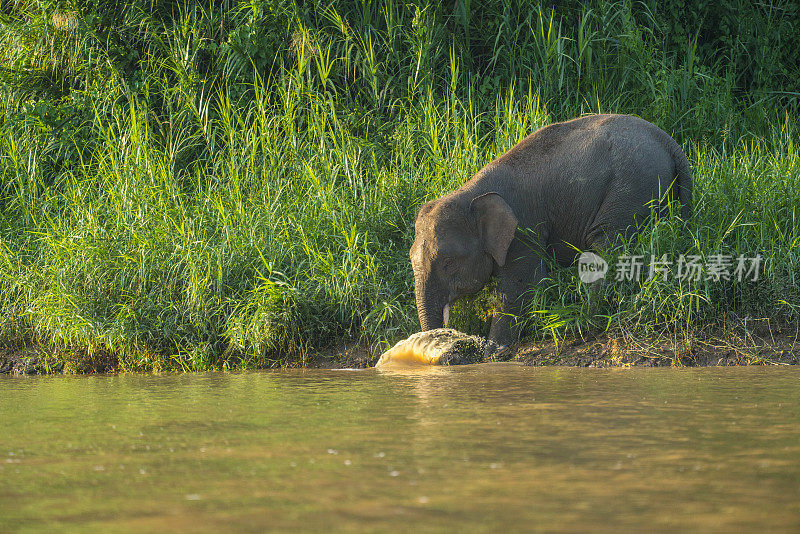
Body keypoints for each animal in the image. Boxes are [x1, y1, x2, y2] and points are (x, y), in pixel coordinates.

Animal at [410, 113, 692, 350]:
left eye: (448, 262)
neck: (470, 193)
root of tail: (669, 141)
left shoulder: (524, 229)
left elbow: (522, 286)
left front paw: (493, 350)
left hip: (631, 190)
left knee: (607, 245)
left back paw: (585, 320)